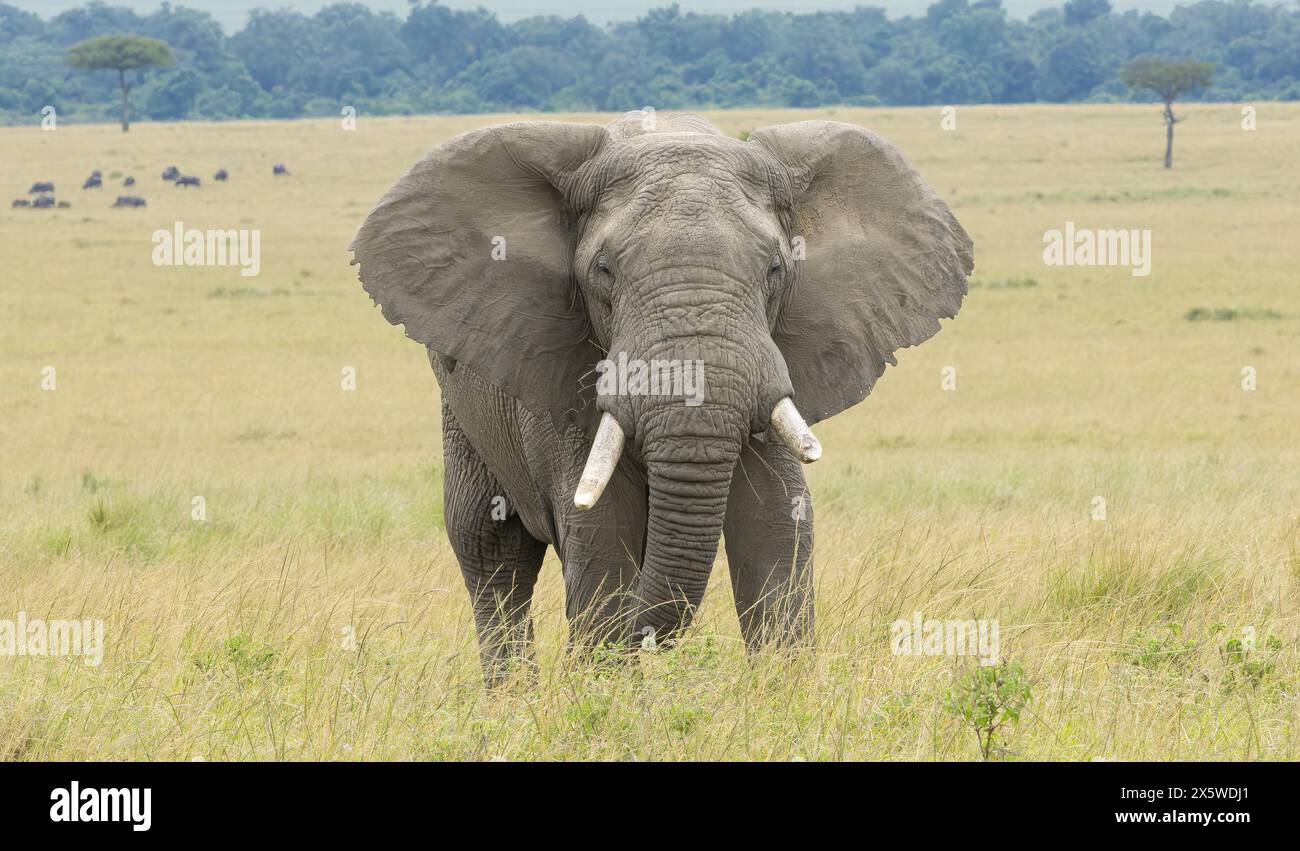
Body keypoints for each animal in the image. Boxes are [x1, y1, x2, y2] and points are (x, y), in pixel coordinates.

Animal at [351, 113, 972, 685]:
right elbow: (603, 536)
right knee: (489, 545)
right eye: (603, 270)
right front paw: (603, 694)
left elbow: (777, 526)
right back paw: (512, 702)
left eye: (776, 268)